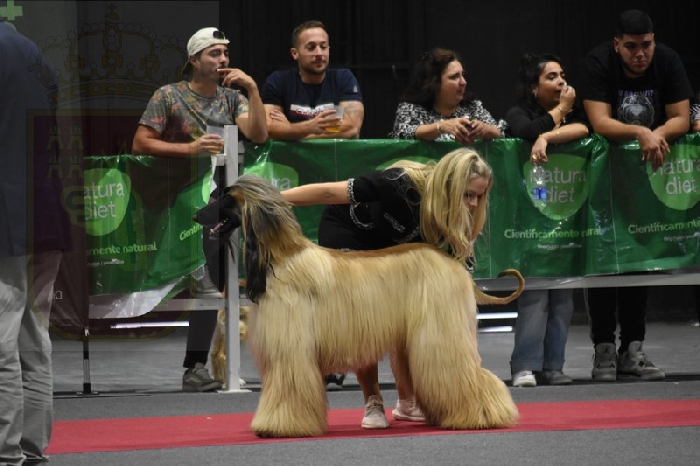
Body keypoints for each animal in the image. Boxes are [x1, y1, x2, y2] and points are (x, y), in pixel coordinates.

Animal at [194, 174, 524, 438]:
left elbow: (288, 390)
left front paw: (279, 426)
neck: (282, 257)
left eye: (225, 197)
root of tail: (452, 262)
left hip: (439, 333)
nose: (196, 216)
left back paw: (483, 415)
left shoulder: (291, 349)